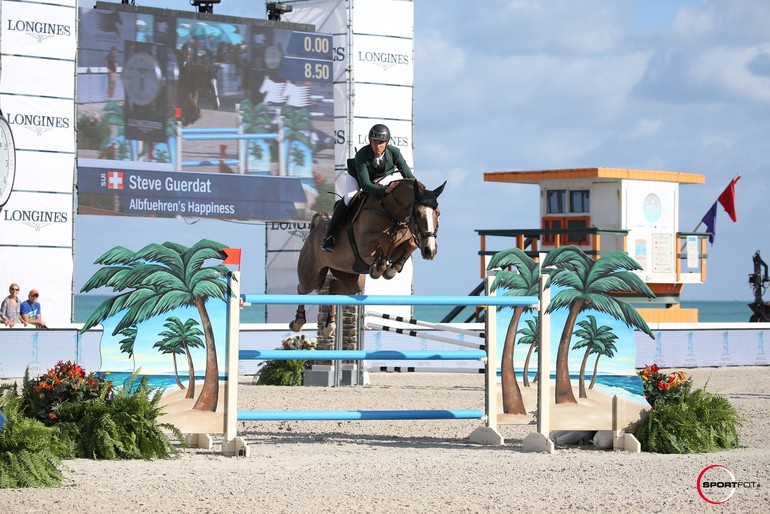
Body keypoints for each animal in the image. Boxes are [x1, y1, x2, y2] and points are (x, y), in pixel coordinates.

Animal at [288, 178, 444, 334]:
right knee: (302, 288)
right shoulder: (364, 245)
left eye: (438, 213)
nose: (429, 251)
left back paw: (329, 326)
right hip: (311, 275)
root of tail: (318, 225)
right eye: (417, 212)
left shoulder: (404, 242)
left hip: (351, 278)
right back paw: (298, 323)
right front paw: (379, 267)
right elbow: (387, 239)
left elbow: (410, 244)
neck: (391, 212)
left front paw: (391, 268)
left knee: (333, 290)